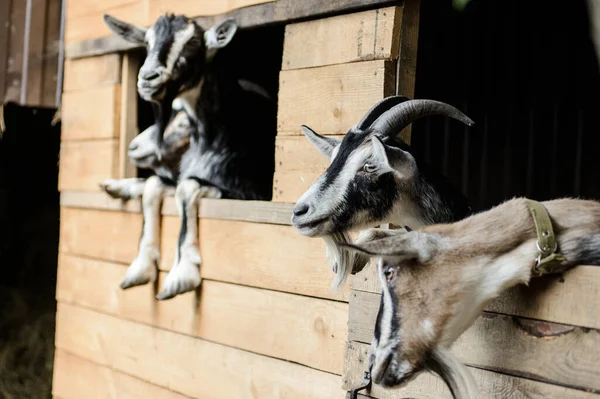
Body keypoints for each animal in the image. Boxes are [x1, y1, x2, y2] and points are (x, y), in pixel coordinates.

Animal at [105, 13, 276, 300]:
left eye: (193, 42)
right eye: (147, 42)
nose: (148, 78)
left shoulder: (248, 193)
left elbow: (186, 188)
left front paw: (181, 274)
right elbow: (154, 185)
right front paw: (141, 266)